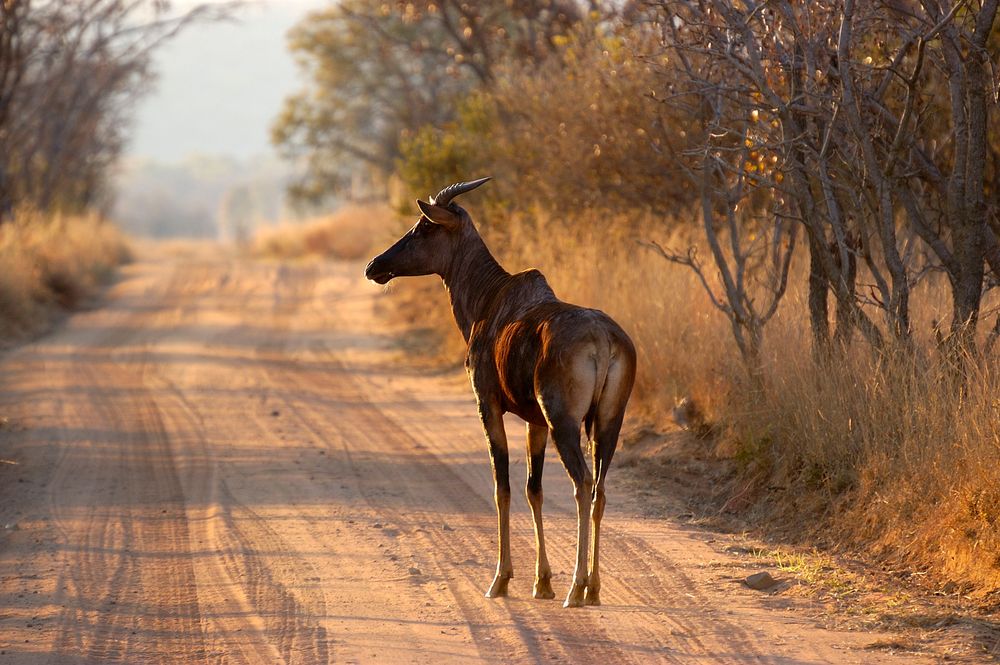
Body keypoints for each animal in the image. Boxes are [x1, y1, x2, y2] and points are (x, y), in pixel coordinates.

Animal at [364, 178, 636, 608]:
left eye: (424, 226)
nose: (375, 266)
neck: (492, 298)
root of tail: (605, 339)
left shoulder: (488, 407)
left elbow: (501, 488)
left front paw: (500, 580)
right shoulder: (534, 422)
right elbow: (533, 490)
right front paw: (541, 583)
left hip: (565, 423)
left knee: (581, 484)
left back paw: (576, 589)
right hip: (607, 423)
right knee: (599, 491)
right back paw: (592, 588)